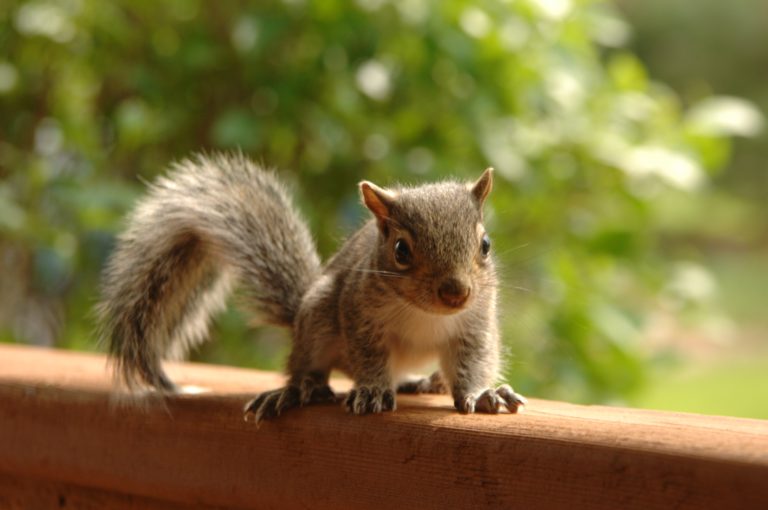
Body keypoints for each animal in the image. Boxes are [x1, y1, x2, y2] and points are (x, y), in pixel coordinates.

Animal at [97, 152, 526, 423]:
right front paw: (372, 390)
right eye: (401, 250)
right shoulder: (358, 312)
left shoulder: (475, 323)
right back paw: (301, 390)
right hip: (318, 315)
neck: (424, 313)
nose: (456, 293)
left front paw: (481, 394)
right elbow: (369, 356)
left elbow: (473, 361)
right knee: (308, 367)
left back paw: (423, 382)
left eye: (485, 245)